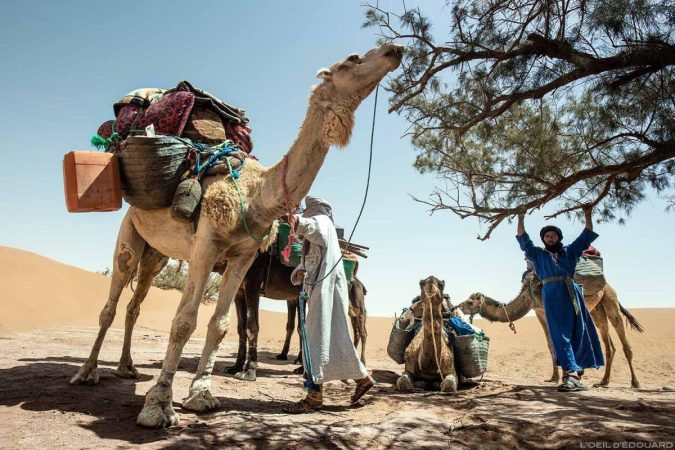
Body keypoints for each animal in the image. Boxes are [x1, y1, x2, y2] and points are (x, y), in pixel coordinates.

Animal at [226, 250, 369, 381]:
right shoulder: (240, 289)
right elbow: (242, 328)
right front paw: (236, 366)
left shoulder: (253, 282)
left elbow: (252, 327)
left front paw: (249, 371)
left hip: (351, 302)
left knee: (359, 331)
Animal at [458, 274, 644, 388]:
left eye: (470, 302)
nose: (457, 306)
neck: (529, 295)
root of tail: (608, 285)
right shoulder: (539, 312)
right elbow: (550, 344)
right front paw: (554, 377)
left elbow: (560, 339)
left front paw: (567, 376)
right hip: (597, 311)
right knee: (609, 343)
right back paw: (604, 381)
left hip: (610, 301)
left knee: (623, 338)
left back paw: (635, 382)